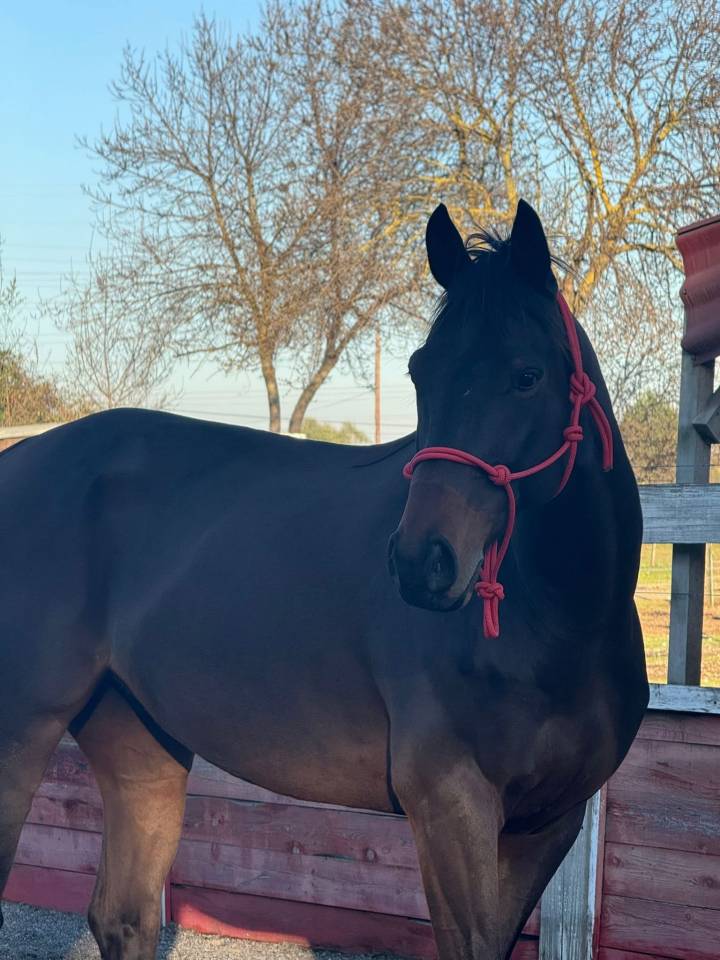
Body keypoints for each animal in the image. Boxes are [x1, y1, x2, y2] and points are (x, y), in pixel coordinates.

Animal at [0, 199, 648, 960]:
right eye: (421, 370)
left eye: (527, 376)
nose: (421, 561)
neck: (560, 628)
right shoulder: (450, 804)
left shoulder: (547, 823)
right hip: (21, 731)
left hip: (136, 741)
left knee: (123, 916)